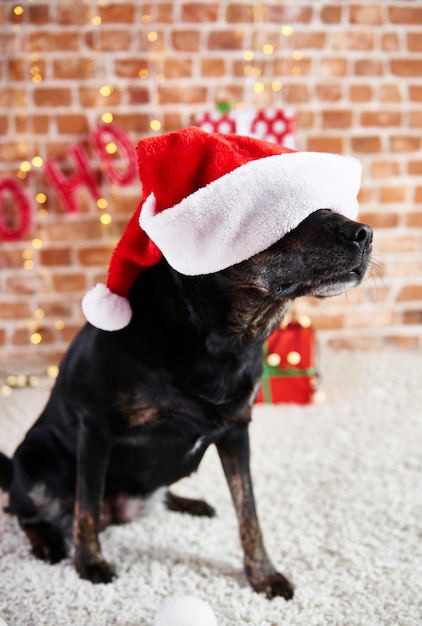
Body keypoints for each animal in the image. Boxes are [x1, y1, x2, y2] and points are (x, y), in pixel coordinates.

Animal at [0, 207, 370, 596]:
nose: (365, 234)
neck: (219, 339)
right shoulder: (95, 427)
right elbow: (85, 505)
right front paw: (89, 564)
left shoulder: (236, 430)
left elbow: (249, 511)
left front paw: (262, 573)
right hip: (32, 460)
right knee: (26, 511)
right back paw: (46, 542)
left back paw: (187, 501)